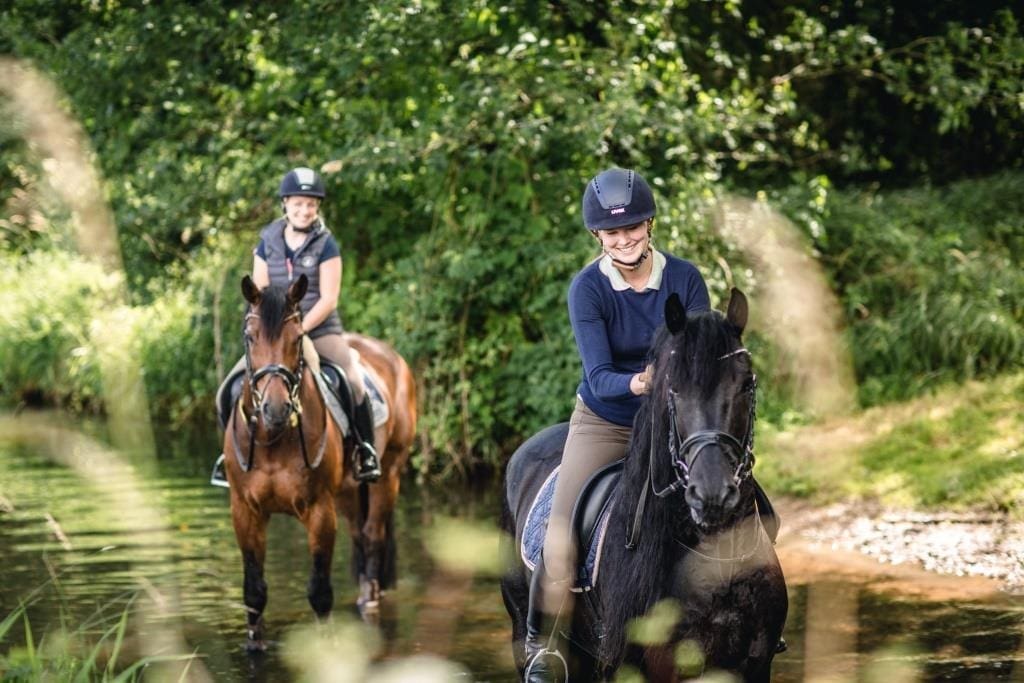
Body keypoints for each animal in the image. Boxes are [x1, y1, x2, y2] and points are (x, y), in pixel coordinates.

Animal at [224, 274, 415, 651]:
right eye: (250, 337)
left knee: (373, 536)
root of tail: (393, 358)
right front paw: (254, 644)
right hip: (348, 491)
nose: (275, 409)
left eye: (298, 338)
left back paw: (368, 600)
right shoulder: (245, 510)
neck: (273, 439)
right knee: (360, 536)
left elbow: (320, 591)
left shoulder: (319, 510)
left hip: (390, 473)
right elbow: (254, 590)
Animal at [499, 290, 786, 683]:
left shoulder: (756, 665)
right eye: (672, 390)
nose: (712, 495)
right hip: (523, 624)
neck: (719, 555)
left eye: (745, 384)